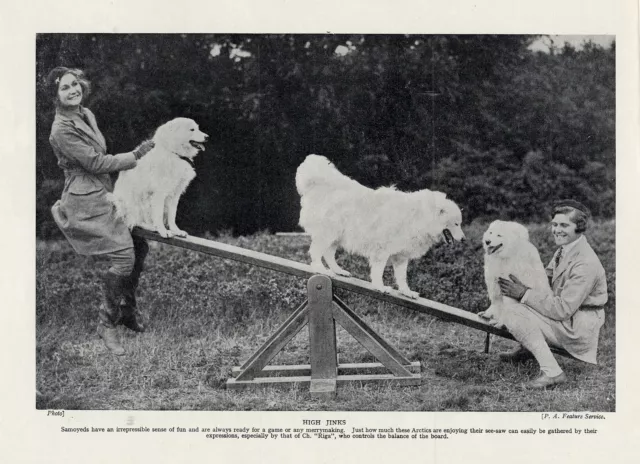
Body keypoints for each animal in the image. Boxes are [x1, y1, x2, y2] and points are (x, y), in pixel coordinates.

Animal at [296, 154, 464, 300]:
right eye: (456, 223)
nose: (463, 239)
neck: (420, 216)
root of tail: (321, 183)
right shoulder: (382, 250)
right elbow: (378, 270)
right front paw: (380, 287)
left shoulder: (401, 255)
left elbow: (402, 277)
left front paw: (406, 292)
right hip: (328, 233)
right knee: (316, 252)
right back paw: (320, 268)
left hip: (336, 236)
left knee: (329, 254)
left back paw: (338, 271)